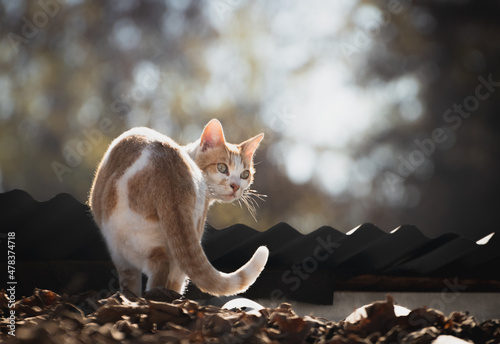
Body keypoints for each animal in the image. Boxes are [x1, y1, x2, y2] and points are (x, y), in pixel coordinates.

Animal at [90, 119, 270, 296]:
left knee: (155, 268)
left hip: (124, 243)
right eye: (222, 168)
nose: (236, 186)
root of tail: (168, 169)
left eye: (244, 175)